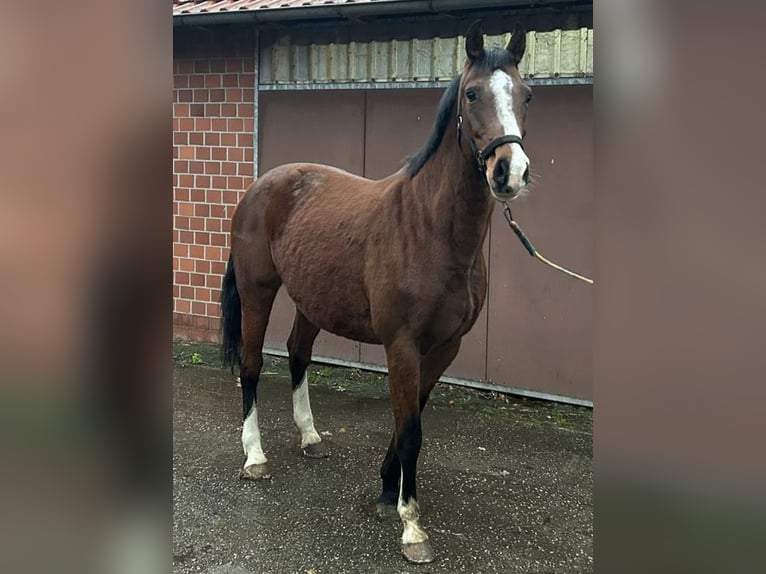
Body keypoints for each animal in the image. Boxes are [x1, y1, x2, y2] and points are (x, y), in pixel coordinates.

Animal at [220, 21, 533, 564]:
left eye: (526, 95)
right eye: (472, 94)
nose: (508, 172)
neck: (430, 229)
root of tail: (262, 185)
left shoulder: (445, 347)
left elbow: (412, 419)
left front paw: (389, 489)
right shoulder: (401, 345)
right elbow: (410, 431)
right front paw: (411, 526)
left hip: (311, 300)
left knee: (298, 355)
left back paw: (310, 436)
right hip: (259, 292)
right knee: (254, 365)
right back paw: (255, 456)